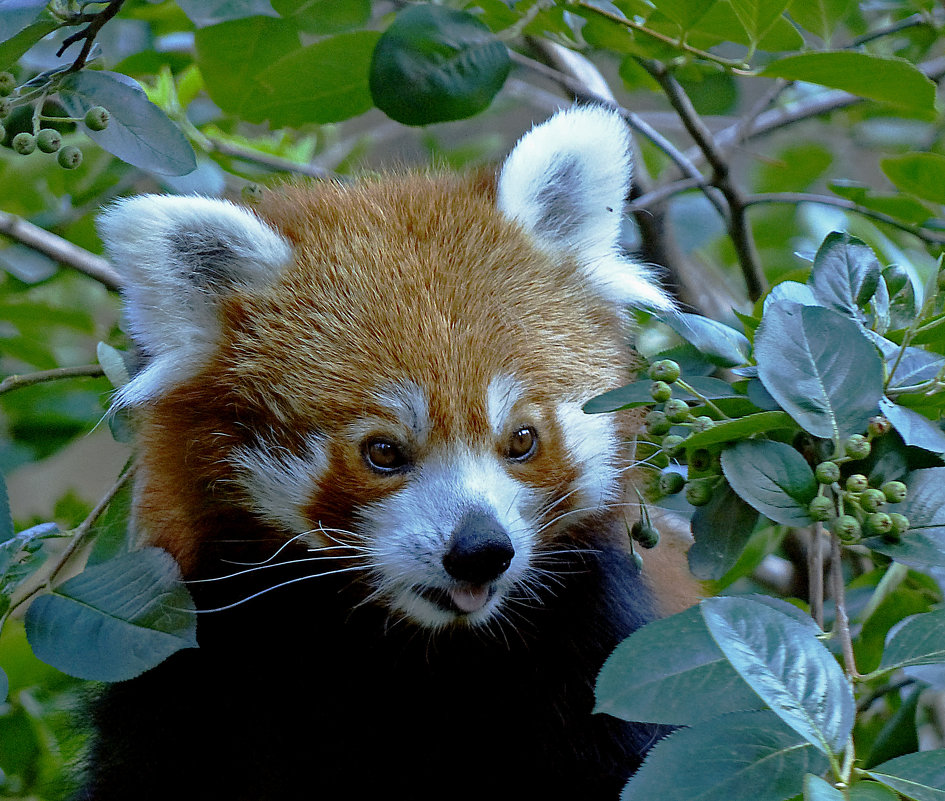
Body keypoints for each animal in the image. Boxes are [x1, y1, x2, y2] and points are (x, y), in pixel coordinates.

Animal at [81, 108, 696, 800]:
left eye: (522, 439)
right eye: (383, 452)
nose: (480, 550)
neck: (407, 659)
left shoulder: (599, 651)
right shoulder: (193, 661)